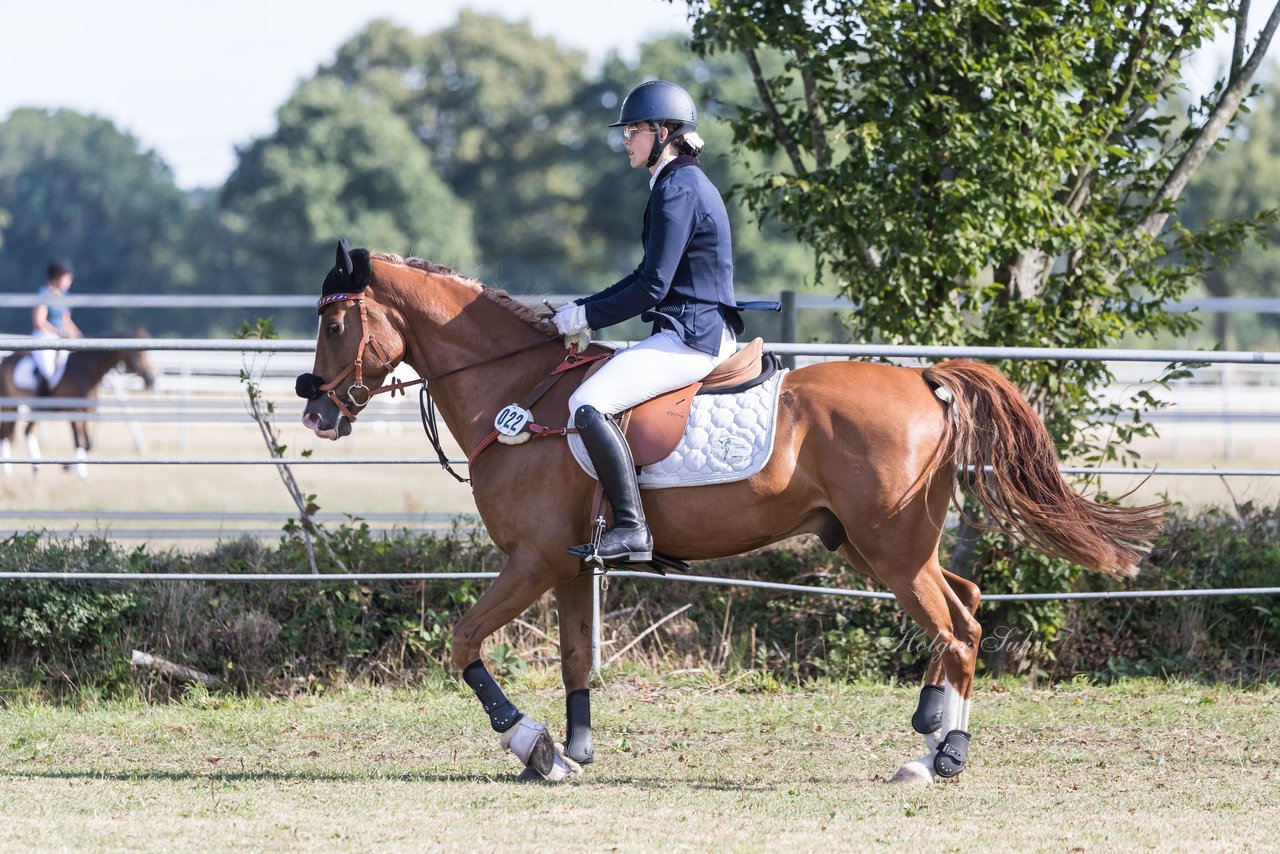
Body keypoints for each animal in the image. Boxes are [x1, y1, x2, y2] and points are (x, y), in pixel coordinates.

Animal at [296, 245, 1162, 783]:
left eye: (336, 323)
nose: (317, 415)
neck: (520, 392)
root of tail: (927, 381)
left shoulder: (532, 560)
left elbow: (463, 642)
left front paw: (528, 743)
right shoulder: (568, 566)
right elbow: (575, 660)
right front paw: (572, 753)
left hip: (891, 548)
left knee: (958, 627)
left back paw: (936, 759)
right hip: (873, 545)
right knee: (968, 607)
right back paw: (932, 730)